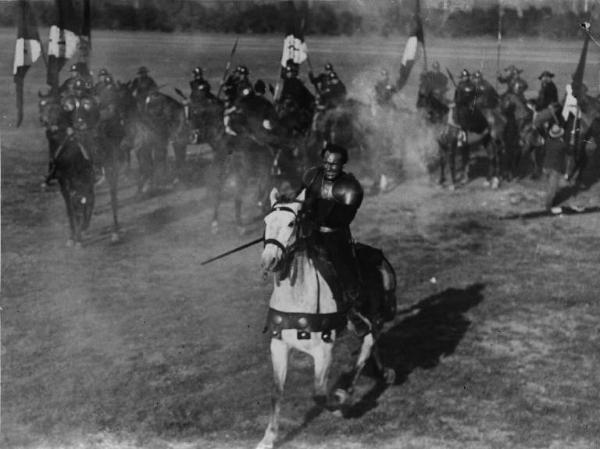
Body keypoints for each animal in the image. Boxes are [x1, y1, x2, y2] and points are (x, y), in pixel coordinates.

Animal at [256, 187, 394, 448]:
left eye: (291, 223)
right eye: (267, 221)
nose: (269, 261)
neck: (297, 296)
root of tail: (380, 257)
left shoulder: (323, 351)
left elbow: (319, 395)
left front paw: (338, 404)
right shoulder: (278, 346)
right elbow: (276, 392)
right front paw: (268, 438)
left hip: (377, 315)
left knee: (368, 345)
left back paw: (350, 390)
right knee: (371, 342)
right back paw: (382, 373)